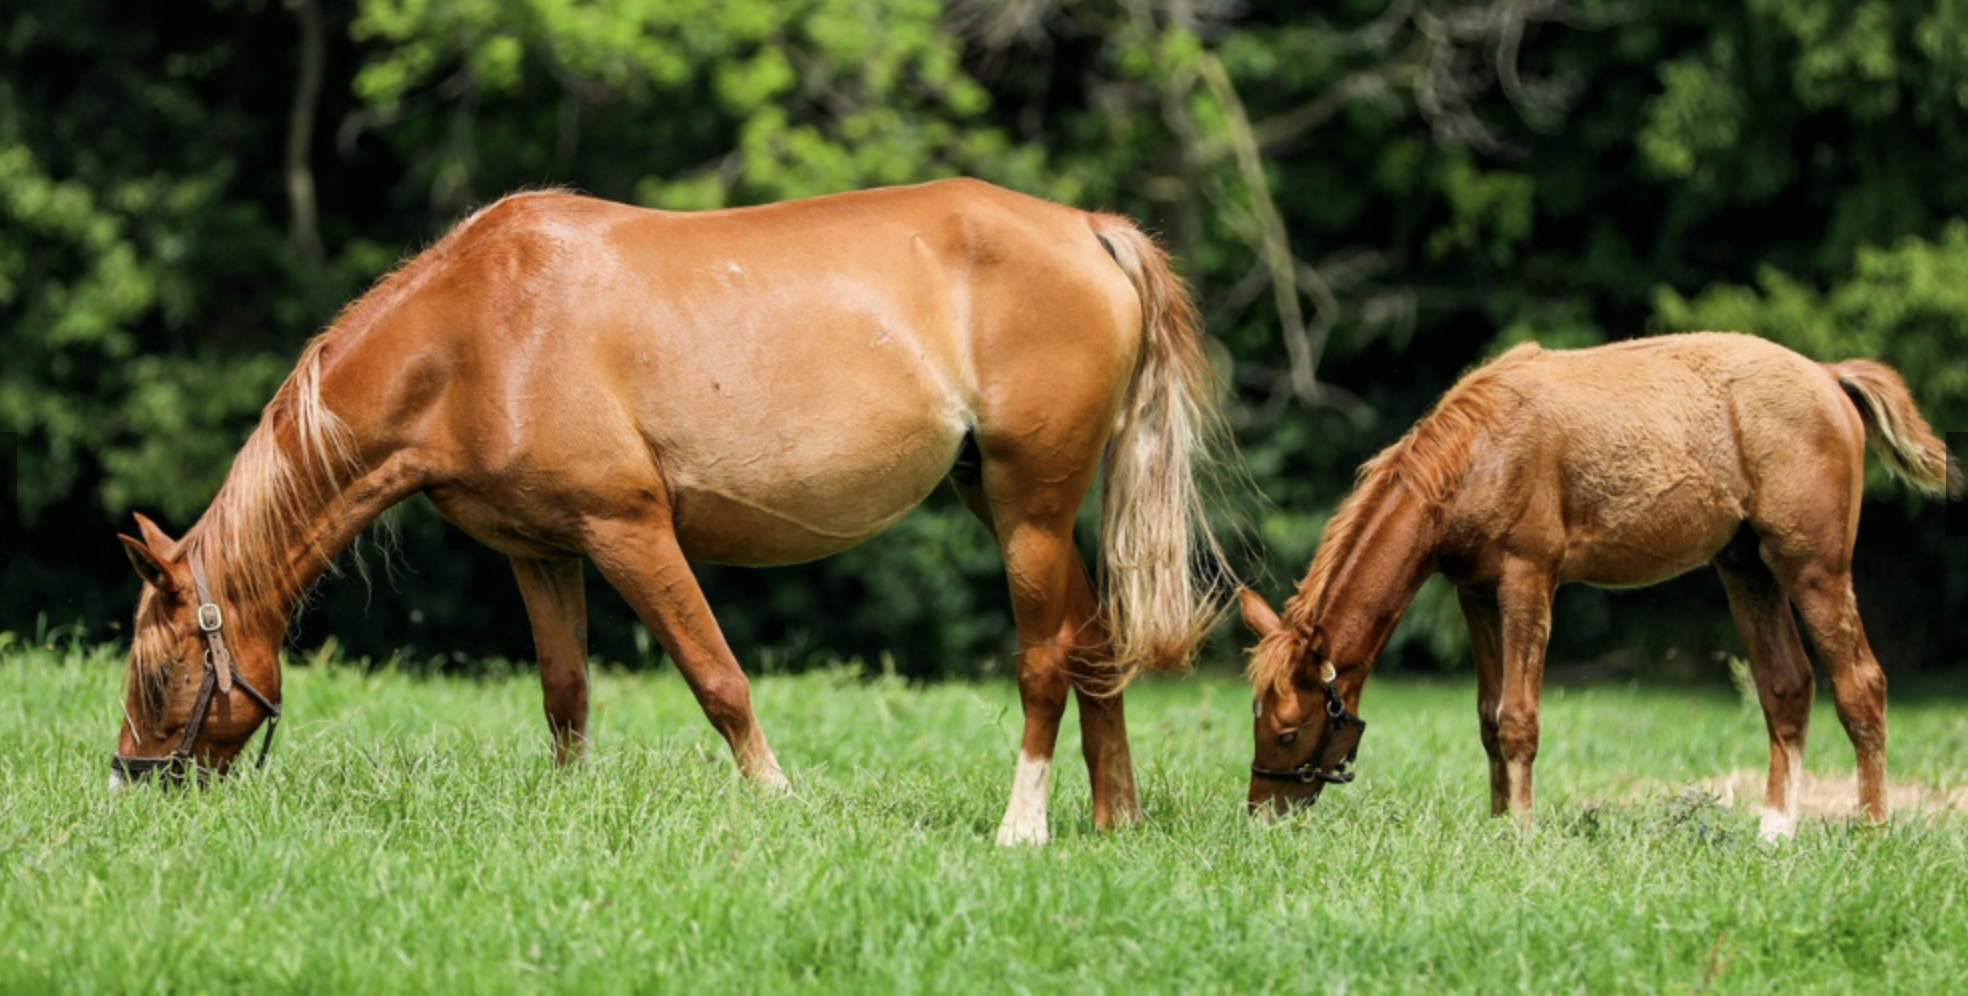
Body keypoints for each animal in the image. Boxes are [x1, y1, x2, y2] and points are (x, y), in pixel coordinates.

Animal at [111, 179, 1228, 846]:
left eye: (164, 673)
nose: (128, 786)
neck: (479, 333)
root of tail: (1088, 229)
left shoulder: (630, 531)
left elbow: (716, 678)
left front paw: (776, 803)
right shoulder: (541, 552)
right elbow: (565, 693)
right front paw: (569, 808)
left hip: (1028, 504)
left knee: (1045, 660)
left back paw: (1022, 829)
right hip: (1005, 499)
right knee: (1095, 642)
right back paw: (1116, 820)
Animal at [1235, 334, 1960, 838]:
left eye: (1290, 730)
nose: (1261, 817)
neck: (1477, 454)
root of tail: (1829, 377)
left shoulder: (1528, 578)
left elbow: (1519, 718)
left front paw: (1522, 834)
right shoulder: (1475, 591)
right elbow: (1488, 718)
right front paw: (1498, 826)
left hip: (1814, 568)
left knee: (1860, 686)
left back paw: (1871, 831)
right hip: (1746, 567)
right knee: (1787, 687)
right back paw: (1774, 834)